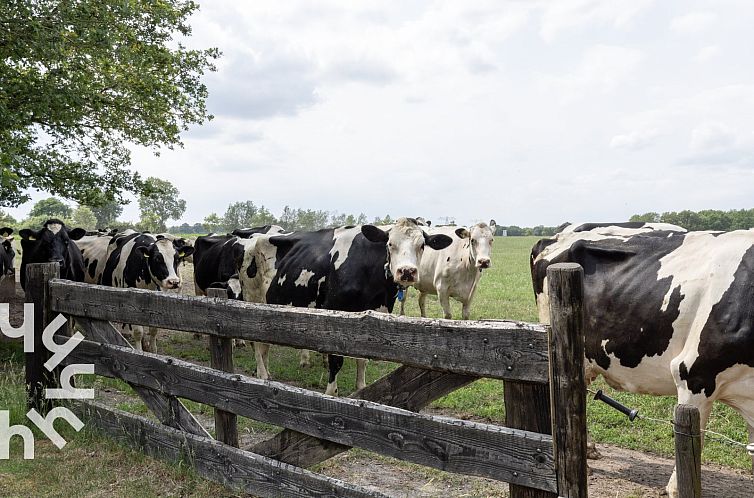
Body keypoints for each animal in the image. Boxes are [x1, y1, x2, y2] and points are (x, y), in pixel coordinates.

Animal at [239, 218, 452, 396]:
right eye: (390, 244)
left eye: (422, 245)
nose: (406, 271)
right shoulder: (335, 312)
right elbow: (336, 360)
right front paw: (331, 393)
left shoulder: (373, 314)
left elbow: (362, 357)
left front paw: (361, 388)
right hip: (252, 299)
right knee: (256, 342)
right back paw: (262, 374)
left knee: (264, 343)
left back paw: (267, 373)